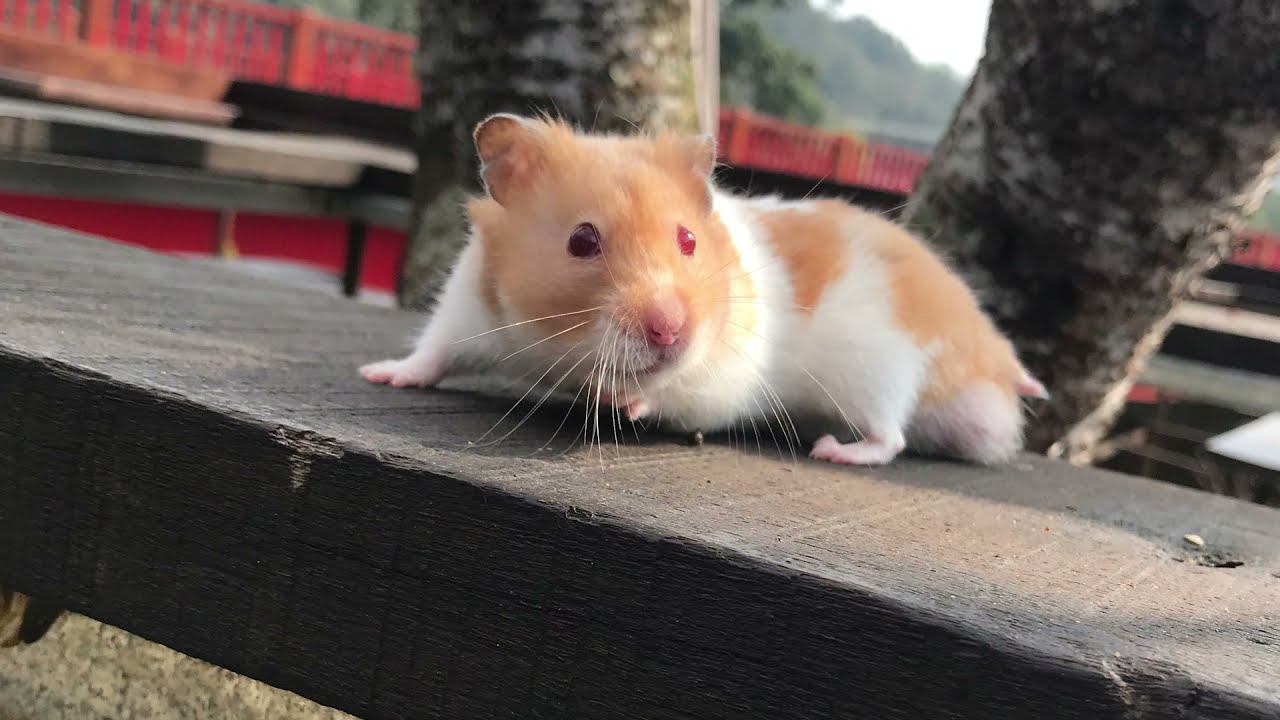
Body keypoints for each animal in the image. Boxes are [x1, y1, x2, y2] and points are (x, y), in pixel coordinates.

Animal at [359, 113, 1048, 466]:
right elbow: (433, 352)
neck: (561, 348)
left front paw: (623, 401)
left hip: (880, 374)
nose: (671, 329)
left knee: (891, 437)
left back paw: (834, 451)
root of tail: (987, 354)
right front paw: (381, 375)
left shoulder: (723, 378)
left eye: (689, 240)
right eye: (582, 241)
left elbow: (677, 392)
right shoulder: (470, 305)